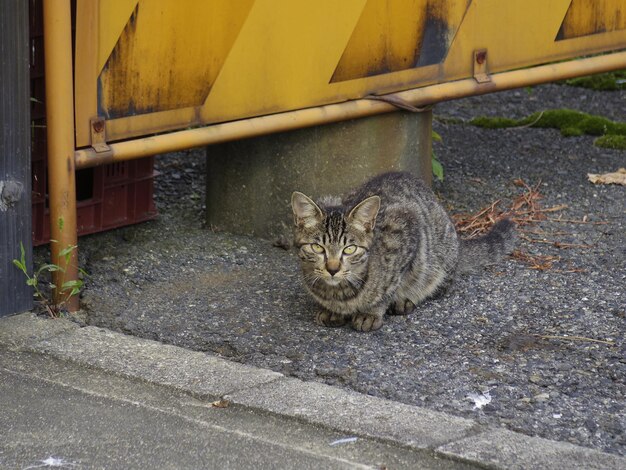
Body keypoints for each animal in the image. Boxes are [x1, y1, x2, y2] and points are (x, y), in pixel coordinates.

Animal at [290, 172, 516, 330]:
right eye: (317, 247)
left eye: (350, 249)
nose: (333, 269)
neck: (337, 293)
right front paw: (330, 311)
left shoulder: (407, 228)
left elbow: (391, 285)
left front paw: (373, 311)